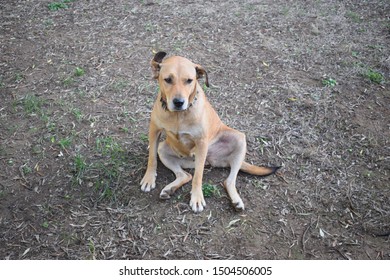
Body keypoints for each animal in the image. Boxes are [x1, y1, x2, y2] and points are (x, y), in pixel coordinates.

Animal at [139, 51, 278, 212]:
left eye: (189, 80)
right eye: (167, 79)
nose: (179, 102)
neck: (179, 116)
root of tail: (211, 160)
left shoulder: (201, 142)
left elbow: (198, 176)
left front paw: (197, 198)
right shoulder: (154, 130)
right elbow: (152, 158)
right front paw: (149, 178)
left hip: (238, 139)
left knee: (227, 180)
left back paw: (236, 200)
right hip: (164, 149)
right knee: (185, 175)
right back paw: (169, 189)